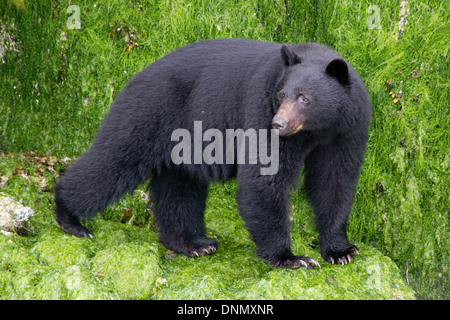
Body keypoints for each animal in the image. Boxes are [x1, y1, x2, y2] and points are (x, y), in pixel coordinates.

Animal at [54, 37, 370, 268]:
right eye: (282, 95)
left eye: (305, 98)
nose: (278, 123)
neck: (317, 129)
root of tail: (135, 76)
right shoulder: (259, 108)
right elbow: (264, 178)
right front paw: (291, 258)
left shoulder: (348, 128)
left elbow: (336, 180)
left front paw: (340, 249)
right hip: (147, 115)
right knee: (112, 163)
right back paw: (70, 217)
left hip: (180, 144)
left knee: (179, 190)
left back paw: (192, 243)